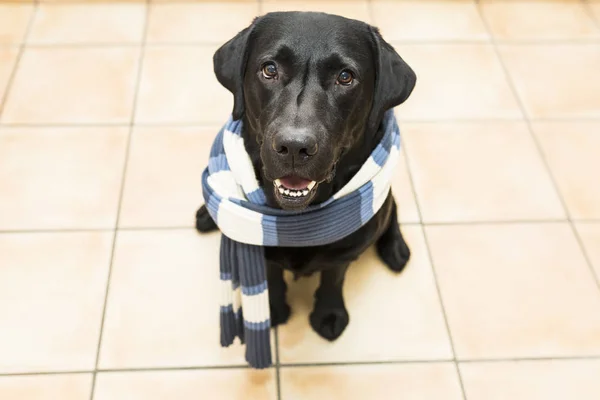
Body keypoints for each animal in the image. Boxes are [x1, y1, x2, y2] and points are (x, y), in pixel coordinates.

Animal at [197, 12, 418, 342]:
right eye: (270, 69)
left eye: (345, 77)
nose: (294, 147)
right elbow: (272, 273)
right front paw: (273, 308)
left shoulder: (344, 253)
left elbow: (333, 276)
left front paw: (329, 312)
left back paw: (395, 247)